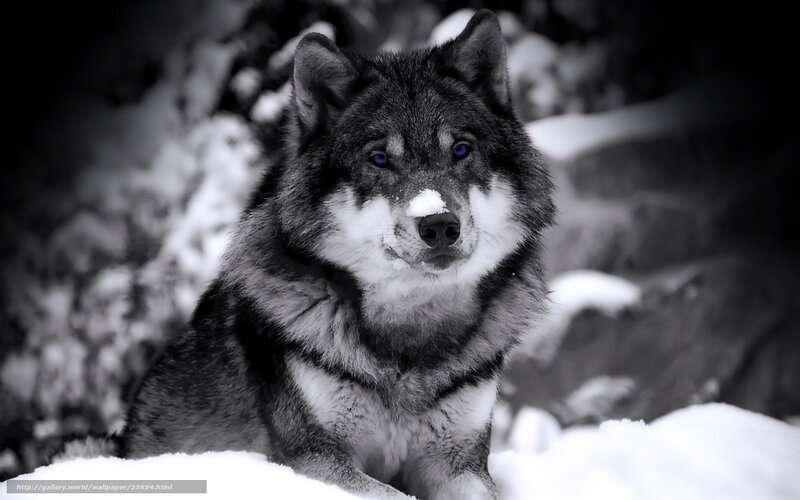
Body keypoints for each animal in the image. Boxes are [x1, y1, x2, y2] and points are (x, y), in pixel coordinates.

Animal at [120, 10, 553, 500]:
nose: (439, 224)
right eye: (380, 158)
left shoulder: (459, 464)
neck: (409, 339)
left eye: (461, 150)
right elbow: (392, 495)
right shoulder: (315, 459)